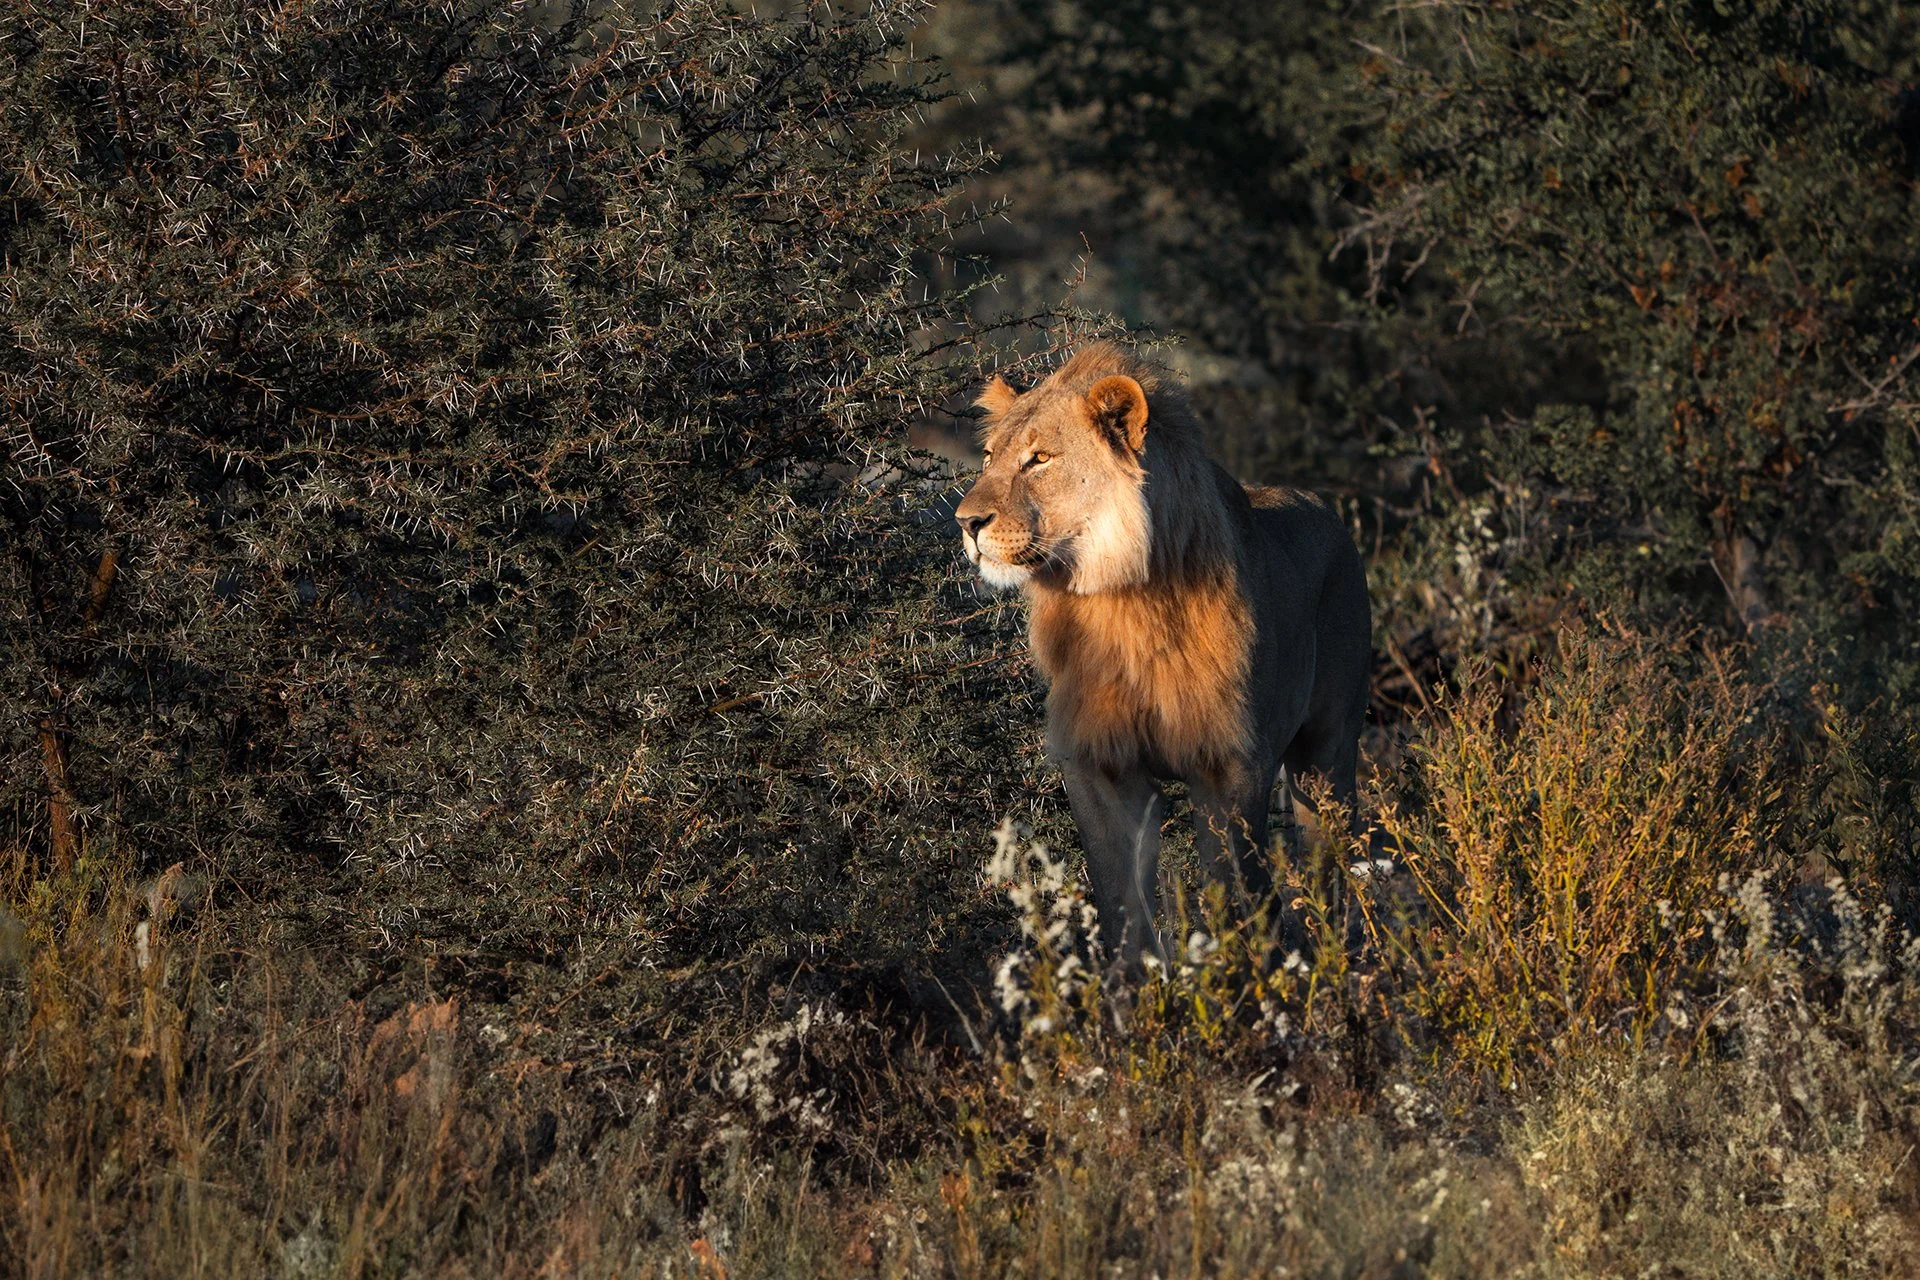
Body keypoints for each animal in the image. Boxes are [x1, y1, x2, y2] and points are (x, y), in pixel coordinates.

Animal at [954, 343, 1371, 968]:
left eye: (1039, 459)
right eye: (986, 457)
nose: (966, 522)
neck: (1118, 602)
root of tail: (1325, 506)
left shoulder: (1230, 762)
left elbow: (1233, 894)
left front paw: (1241, 985)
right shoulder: (1099, 764)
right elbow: (1121, 906)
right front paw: (1136, 993)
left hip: (1329, 750)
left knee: (1328, 869)